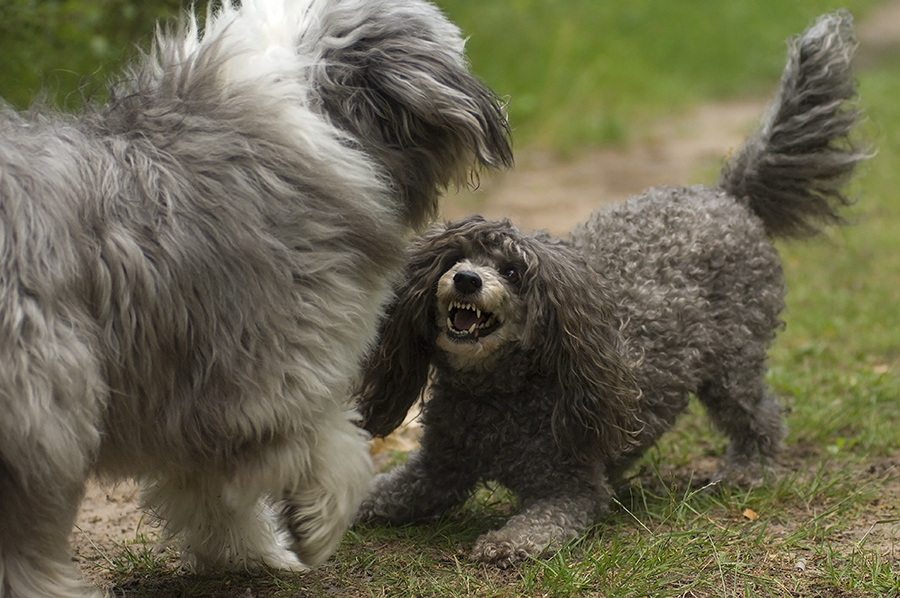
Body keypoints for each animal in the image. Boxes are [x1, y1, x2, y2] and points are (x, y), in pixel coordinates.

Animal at [356, 11, 868, 568]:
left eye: (512, 272)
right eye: (454, 259)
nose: (467, 279)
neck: (494, 395)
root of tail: (727, 196)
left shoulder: (570, 486)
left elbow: (544, 521)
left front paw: (506, 542)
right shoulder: (437, 468)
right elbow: (392, 491)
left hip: (733, 365)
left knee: (761, 416)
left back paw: (748, 469)